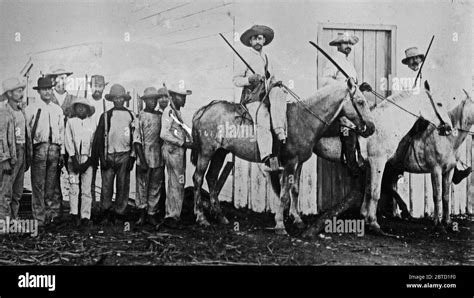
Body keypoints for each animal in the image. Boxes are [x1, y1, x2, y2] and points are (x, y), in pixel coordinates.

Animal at [191, 79, 376, 235]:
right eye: (360, 102)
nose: (371, 128)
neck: (304, 119)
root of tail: (204, 109)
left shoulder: (299, 163)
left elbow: (295, 190)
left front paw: (297, 219)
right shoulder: (290, 163)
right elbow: (285, 193)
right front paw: (280, 224)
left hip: (220, 152)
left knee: (211, 177)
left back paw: (220, 216)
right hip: (206, 152)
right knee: (198, 178)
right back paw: (201, 217)